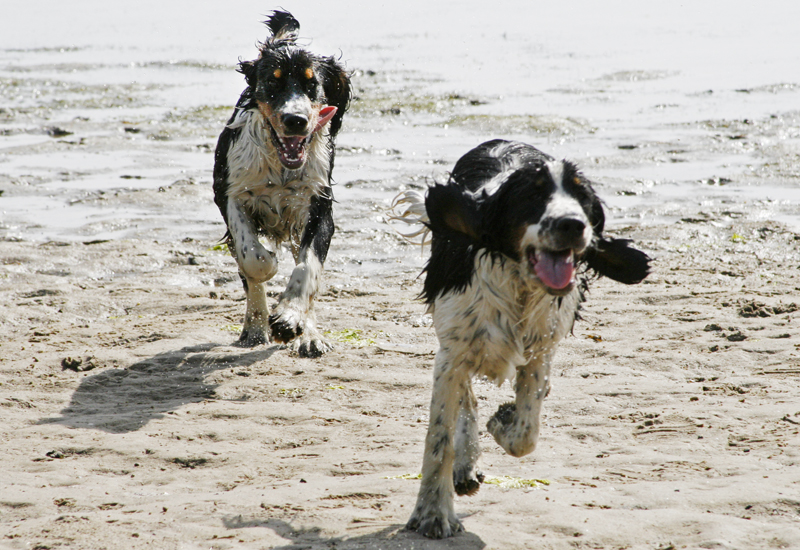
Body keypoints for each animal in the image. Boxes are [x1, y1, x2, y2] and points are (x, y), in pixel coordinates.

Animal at [212, 11, 350, 358]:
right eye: (272, 82)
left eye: (313, 83)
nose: (295, 120)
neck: (281, 167)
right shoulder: (228, 194)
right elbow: (252, 258)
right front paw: (268, 267)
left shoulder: (319, 205)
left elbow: (307, 267)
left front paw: (290, 319)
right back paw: (255, 328)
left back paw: (308, 334)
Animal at [394, 139, 648, 540]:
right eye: (532, 195)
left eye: (582, 197)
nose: (573, 225)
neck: (519, 285)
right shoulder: (452, 352)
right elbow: (439, 439)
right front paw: (433, 513)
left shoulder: (540, 350)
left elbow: (526, 433)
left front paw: (504, 419)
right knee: (466, 397)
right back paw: (464, 467)